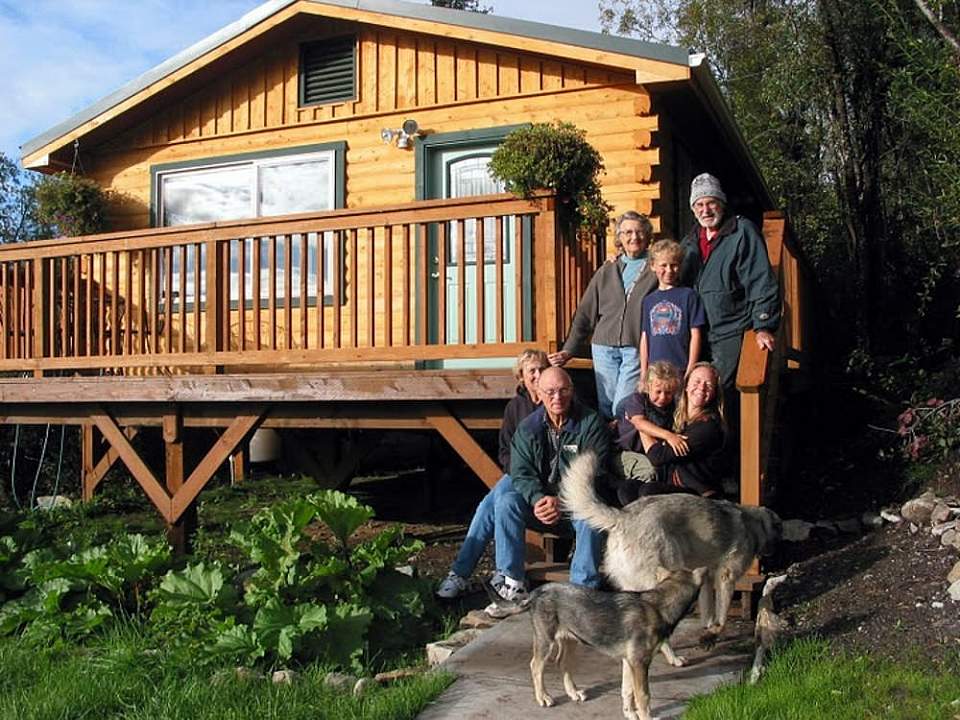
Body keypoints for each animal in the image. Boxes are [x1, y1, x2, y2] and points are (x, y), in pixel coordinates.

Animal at [564, 452, 780, 668]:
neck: (753, 523)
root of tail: (623, 517)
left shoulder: (706, 580)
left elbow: (709, 612)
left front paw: (709, 633)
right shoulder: (726, 578)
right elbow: (722, 615)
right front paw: (712, 634)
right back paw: (674, 658)